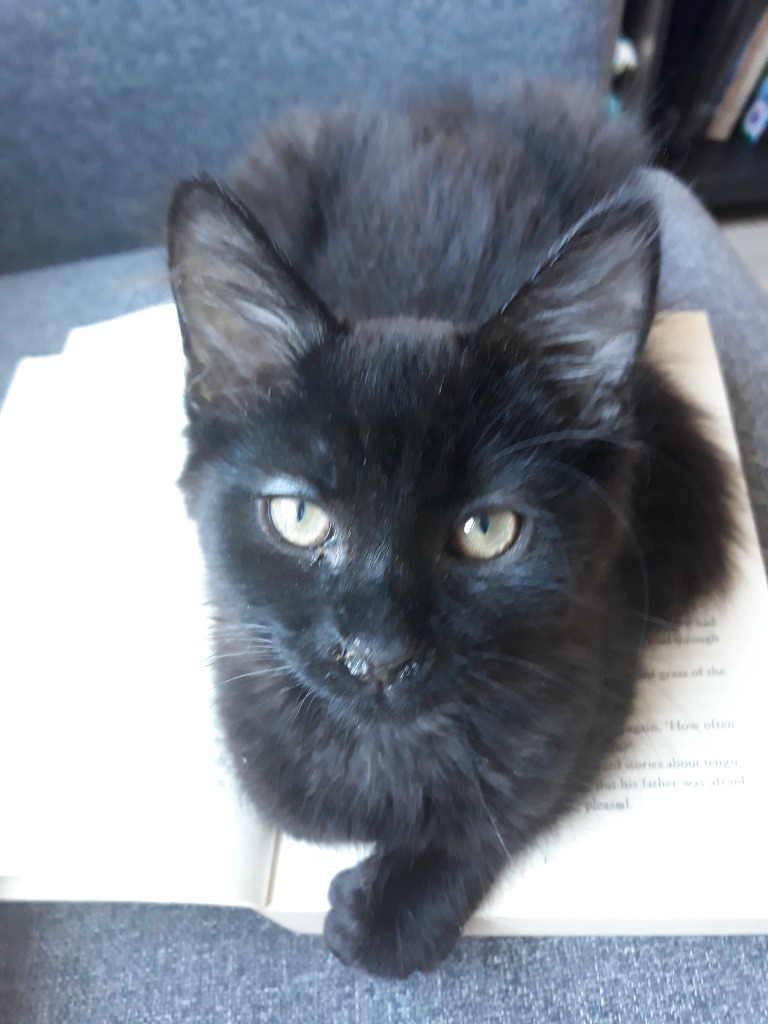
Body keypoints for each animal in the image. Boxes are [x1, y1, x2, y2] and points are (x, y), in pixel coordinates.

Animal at [167, 81, 733, 978]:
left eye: (487, 530)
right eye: (300, 517)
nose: (378, 655)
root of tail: (437, 106)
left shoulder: (594, 657)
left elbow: (513, 795)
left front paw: (392, 911)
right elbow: (283, 787)